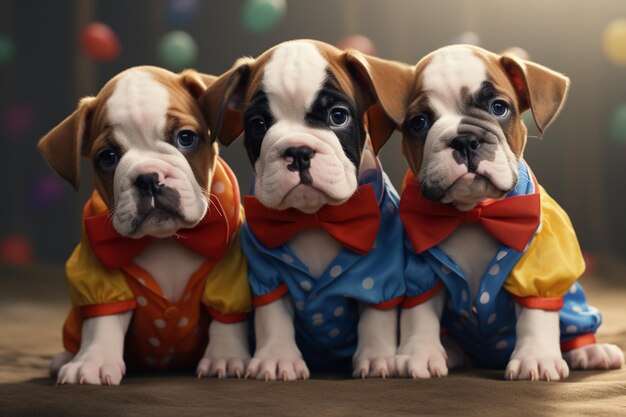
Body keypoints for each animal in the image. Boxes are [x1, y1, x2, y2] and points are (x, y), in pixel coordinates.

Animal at [37, 66, 249, 384]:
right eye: (108, 157)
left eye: (186, 138)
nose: (149, 177)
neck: (165, 238)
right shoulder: (99, 267)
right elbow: (102, 319)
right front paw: (92, 361)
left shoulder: (231, 266)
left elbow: (226, 316)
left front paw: (226, 356)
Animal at [200, 39, 408, 380]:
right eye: (258, 124)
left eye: (338, 116)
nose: (297, 151)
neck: (315, 218)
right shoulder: (268, 275)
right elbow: (272, 317)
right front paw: (277, 359)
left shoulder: (379, 274)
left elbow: (376, 316)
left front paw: (378, 357)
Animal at [388, 45, 620, 380]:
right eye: (419, 123)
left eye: (499, 108)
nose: (465, 139)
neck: (472, 212)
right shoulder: (418, 265)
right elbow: (419, 311)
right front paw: (418, 355)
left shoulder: (540, 265)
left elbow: (537, 312)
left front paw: (536, 358)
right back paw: (452, 351)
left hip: (574, 305)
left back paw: (590, 351)